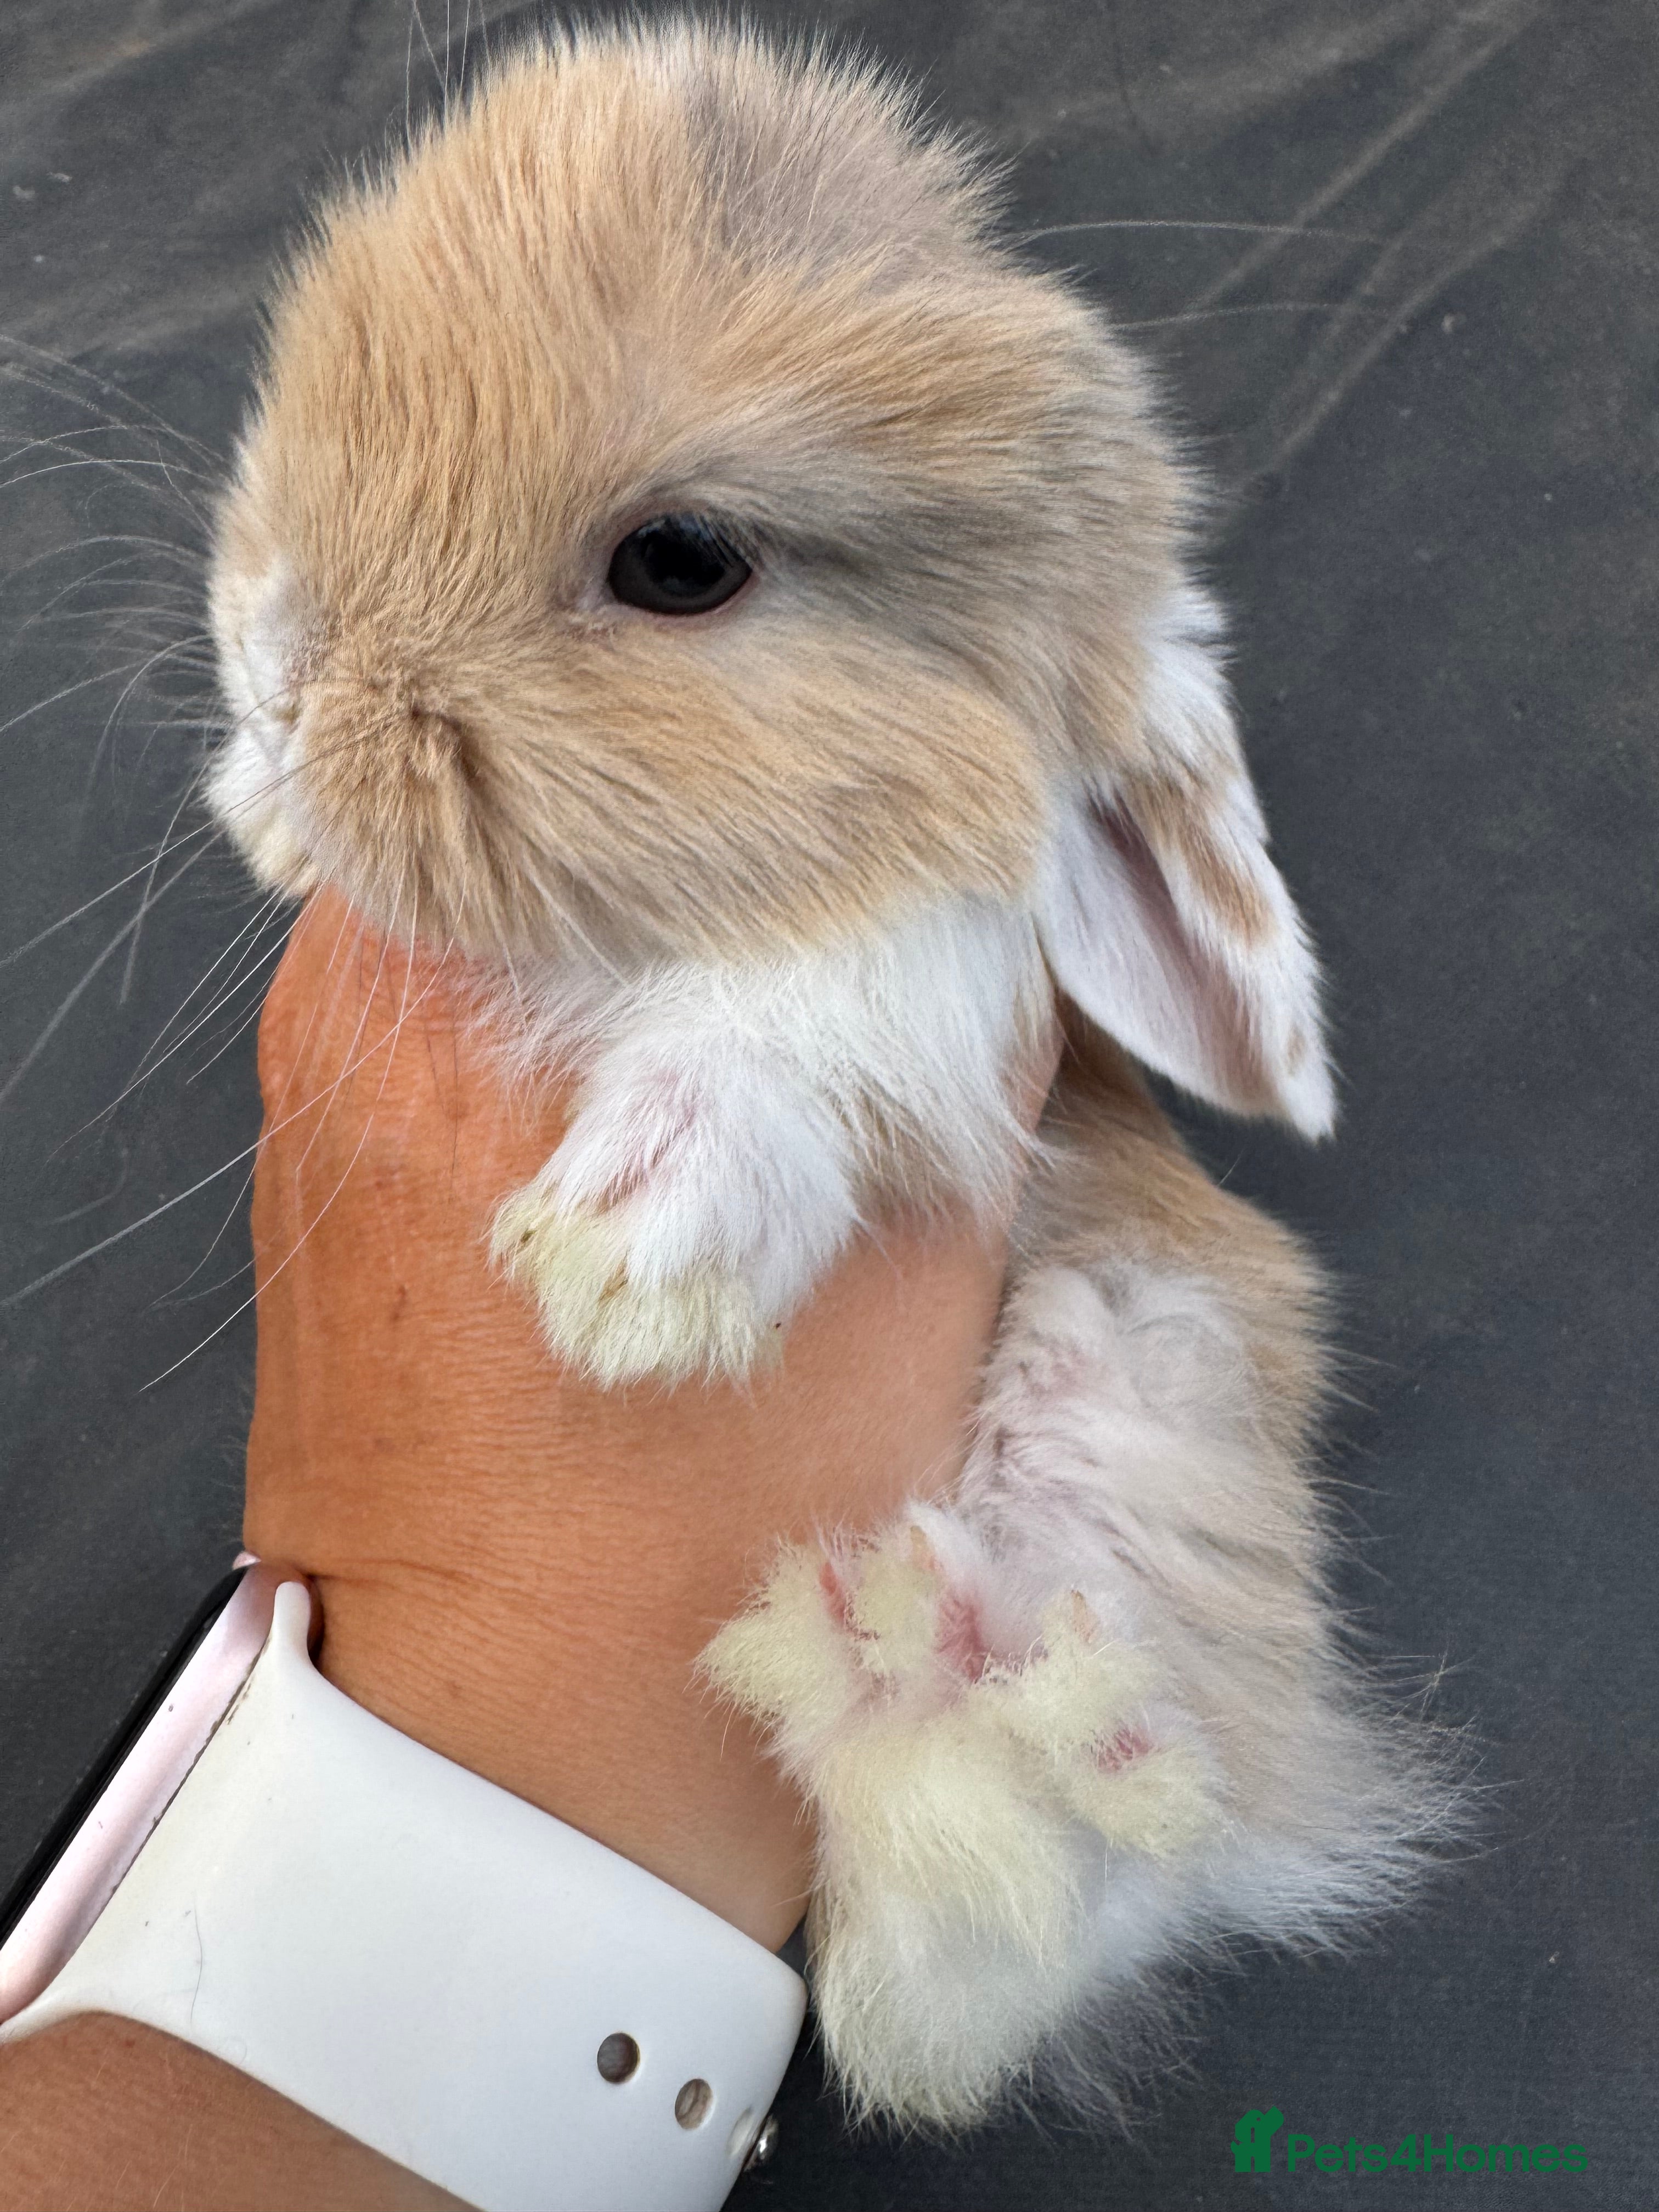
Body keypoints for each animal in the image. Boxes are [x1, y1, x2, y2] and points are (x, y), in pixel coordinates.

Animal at [207, 21, 1456, 2131]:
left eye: (681, 560)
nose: (276, 675)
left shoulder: (942, 978)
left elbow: (824, 1014)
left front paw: (637, 1261)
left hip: (1142, 1404)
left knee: (1021, 1935)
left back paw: (963, 1698)